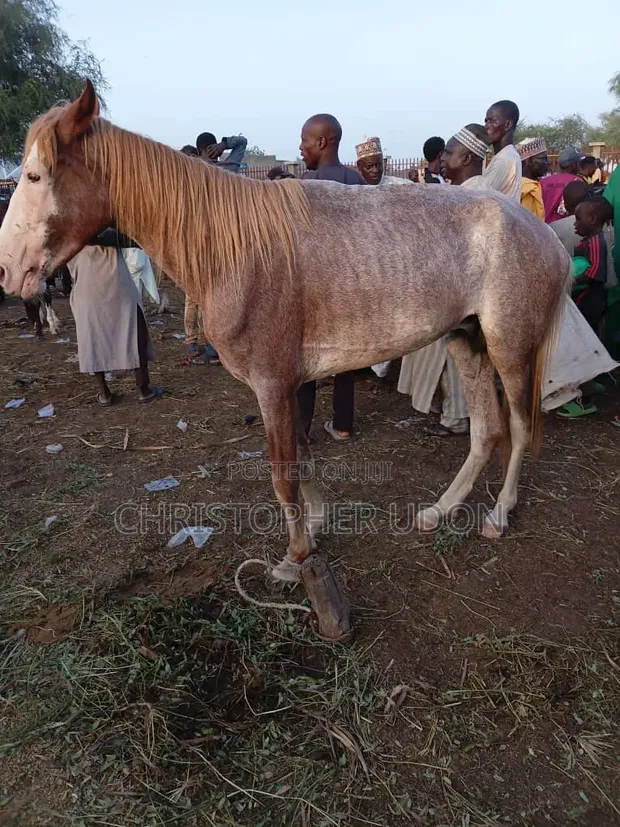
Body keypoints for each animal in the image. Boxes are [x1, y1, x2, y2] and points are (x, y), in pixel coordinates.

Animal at [0, 83, 571, 639]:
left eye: (34, 175)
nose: (8, 271)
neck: (235, 249)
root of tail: (543, 234)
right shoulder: (290, 384)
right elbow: (302, 453)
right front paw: (315, 526)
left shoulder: (271, 384)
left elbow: (282, 474)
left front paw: (295, 557)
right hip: (465, 341)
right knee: (486, 431)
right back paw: (439, 510)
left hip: (509, 350)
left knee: (518, 427)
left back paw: (499, 513)